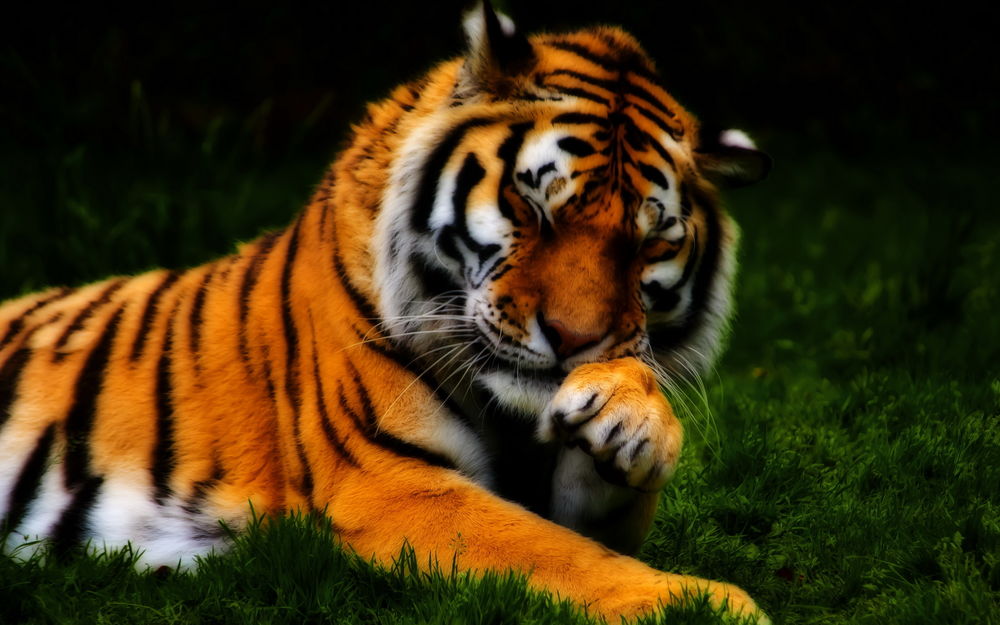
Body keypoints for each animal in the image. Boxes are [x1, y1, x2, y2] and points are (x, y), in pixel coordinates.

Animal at [0, 3, 771, 623]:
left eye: (648, 243)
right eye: (532, 208)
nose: (573, 340)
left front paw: (629, 415)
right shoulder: (385, 478)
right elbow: (558, 554)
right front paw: (708, 604)